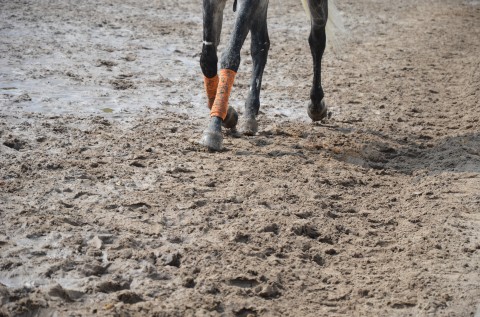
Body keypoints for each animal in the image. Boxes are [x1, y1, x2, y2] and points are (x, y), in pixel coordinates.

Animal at [199, 0, 338, 150]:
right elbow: (207, 60)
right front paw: (228, 114)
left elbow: (231, 55)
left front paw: (214, 130)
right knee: (260, 45)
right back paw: (250, 114)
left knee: (317, 38)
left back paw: (316, 105)